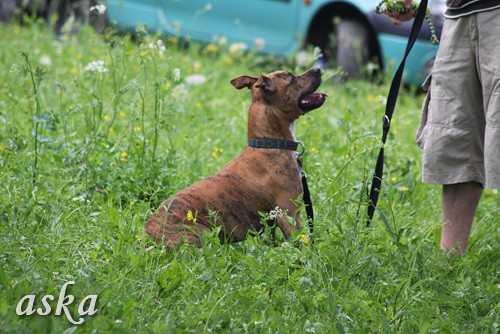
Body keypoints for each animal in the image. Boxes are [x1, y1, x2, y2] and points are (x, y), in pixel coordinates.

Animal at [145, 68, 326, 247]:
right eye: (291, 78)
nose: (318, 69)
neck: (267, 144)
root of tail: (146, 237)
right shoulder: (290, 216)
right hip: (202, 234)